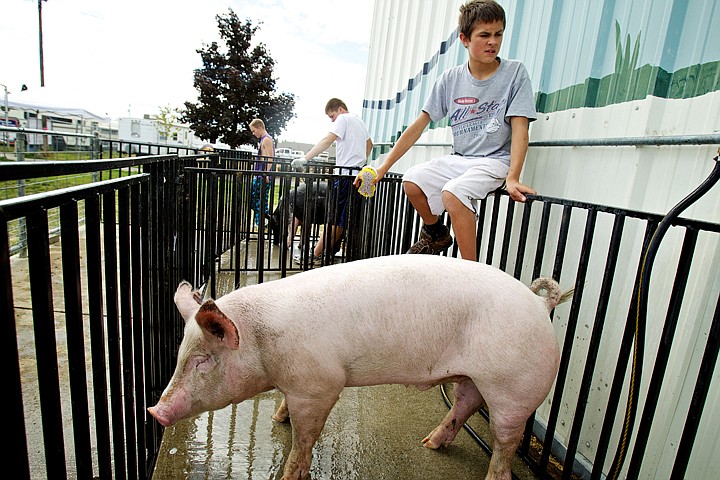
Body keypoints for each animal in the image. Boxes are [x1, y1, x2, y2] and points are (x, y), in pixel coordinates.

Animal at [149, 253, 572, 478]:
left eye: (203, 360)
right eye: (181, 353)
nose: (155, 410)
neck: (261, 340)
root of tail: (541, 304)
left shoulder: (319, 384)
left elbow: (305, 437)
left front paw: (289, 469)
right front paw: (276, 419)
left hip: (514, 388)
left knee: (504, 441)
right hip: (473, 377)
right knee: (464, 404)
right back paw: (429, 444)